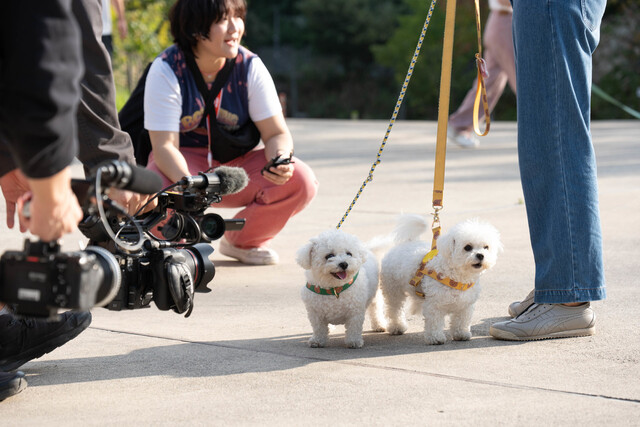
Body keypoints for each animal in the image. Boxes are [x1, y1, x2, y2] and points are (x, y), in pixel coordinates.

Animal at [380, 216, 500, 346]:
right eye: (467, 247)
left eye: (486, 247)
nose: (480, 255)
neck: (456, 276)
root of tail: (409, 242)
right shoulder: (435, 305)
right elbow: (435, 322)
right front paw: (435, 337)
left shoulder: (465, 305)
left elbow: (461, 320)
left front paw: (461, 333)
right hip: (393, 289)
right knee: (394, 309)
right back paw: (396, 327)